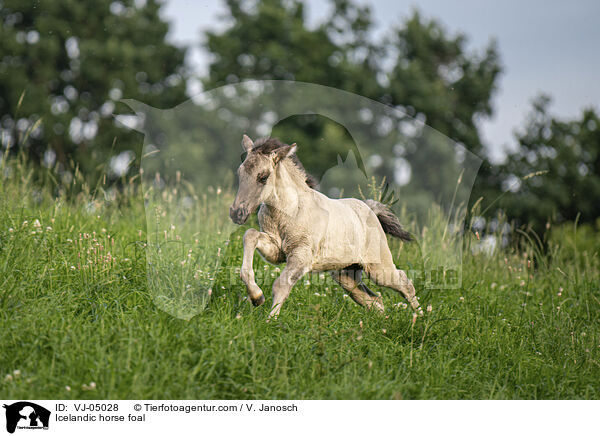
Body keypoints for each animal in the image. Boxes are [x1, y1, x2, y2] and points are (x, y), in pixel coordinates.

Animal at [230, 135, 422, 318]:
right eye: (240, 172)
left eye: (263, 176)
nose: (237, 213)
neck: (290, 210)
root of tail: (371, 209)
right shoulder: (276, 250)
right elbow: (250, 235)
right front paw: (256, 297)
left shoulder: (302, 256)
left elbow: (280, 284)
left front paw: (270, 321)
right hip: (346, 275)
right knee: (374, 300)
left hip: (378, 269)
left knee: (404, 283)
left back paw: (420, 319)